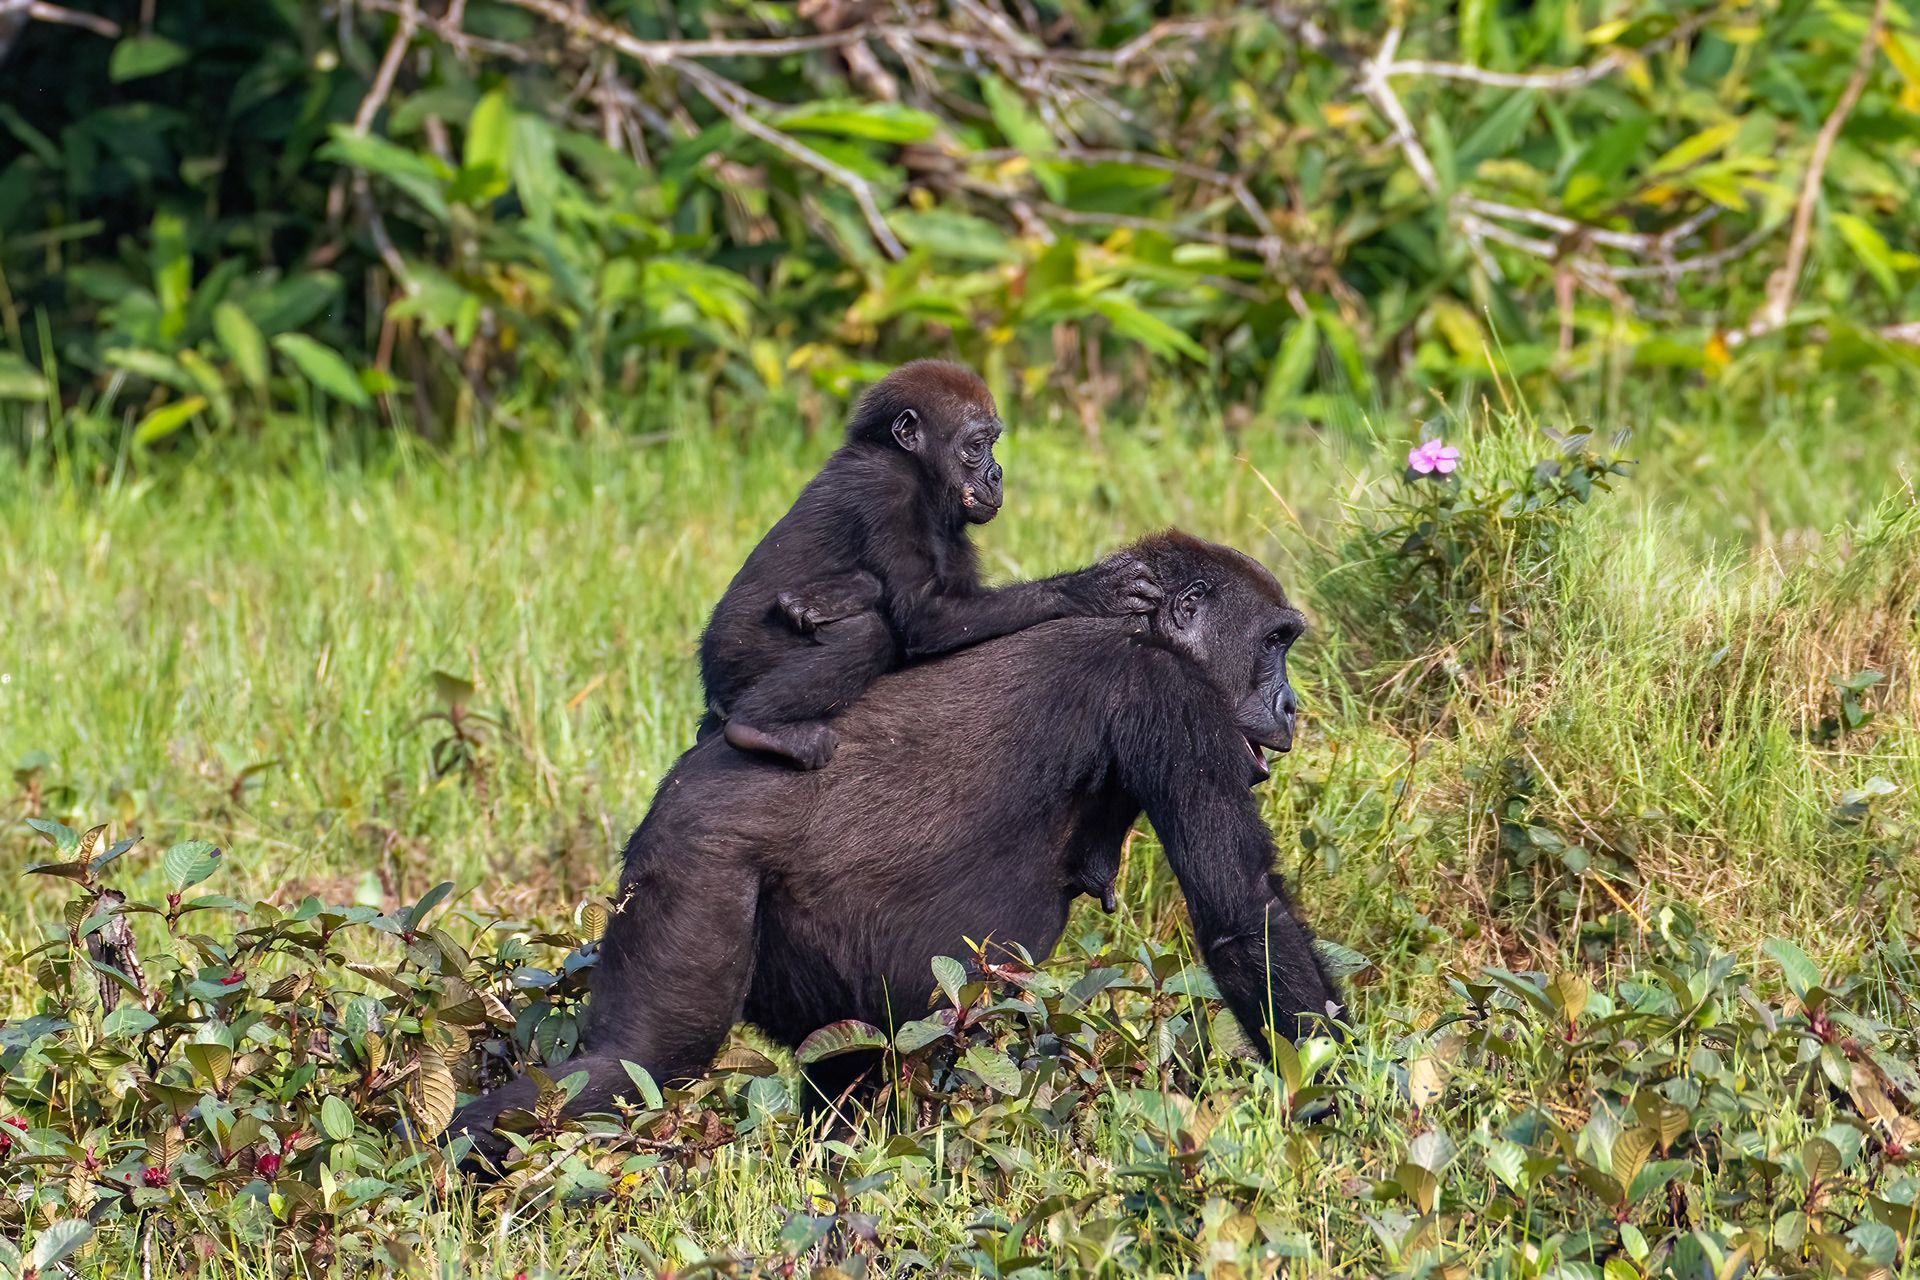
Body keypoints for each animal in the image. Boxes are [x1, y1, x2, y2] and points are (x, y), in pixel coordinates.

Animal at [449, 531, 1341, 1166]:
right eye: (1273, 642)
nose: (1291, 705)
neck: (1146, 628)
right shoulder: (1173, 697)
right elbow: (1243, 916)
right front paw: (1340, 1104)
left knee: (829, 1080)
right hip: (697, 864)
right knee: (636, 1059)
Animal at [698, 359, 1158, 770]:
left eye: (993, 443)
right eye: (976, 446)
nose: (997, 474)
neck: (911, 464)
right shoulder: (886, 492)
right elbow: (927, 616)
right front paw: (1088, 589)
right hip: (736, 659)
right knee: (865, 635)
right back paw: (757, 726)